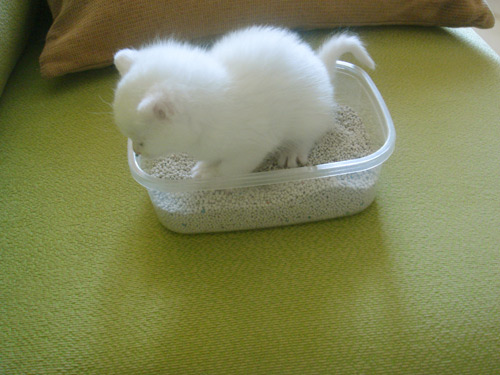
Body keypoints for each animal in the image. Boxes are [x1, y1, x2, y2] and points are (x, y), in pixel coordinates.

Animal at [111, 26, 374, 179]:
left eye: (142, 140)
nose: (136, 151)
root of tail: (322, 70)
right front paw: (206, 165)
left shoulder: (253, 146)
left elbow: (231, 167)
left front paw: (209, 173)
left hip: (307, 118)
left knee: (307, 136)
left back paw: (292, 151)